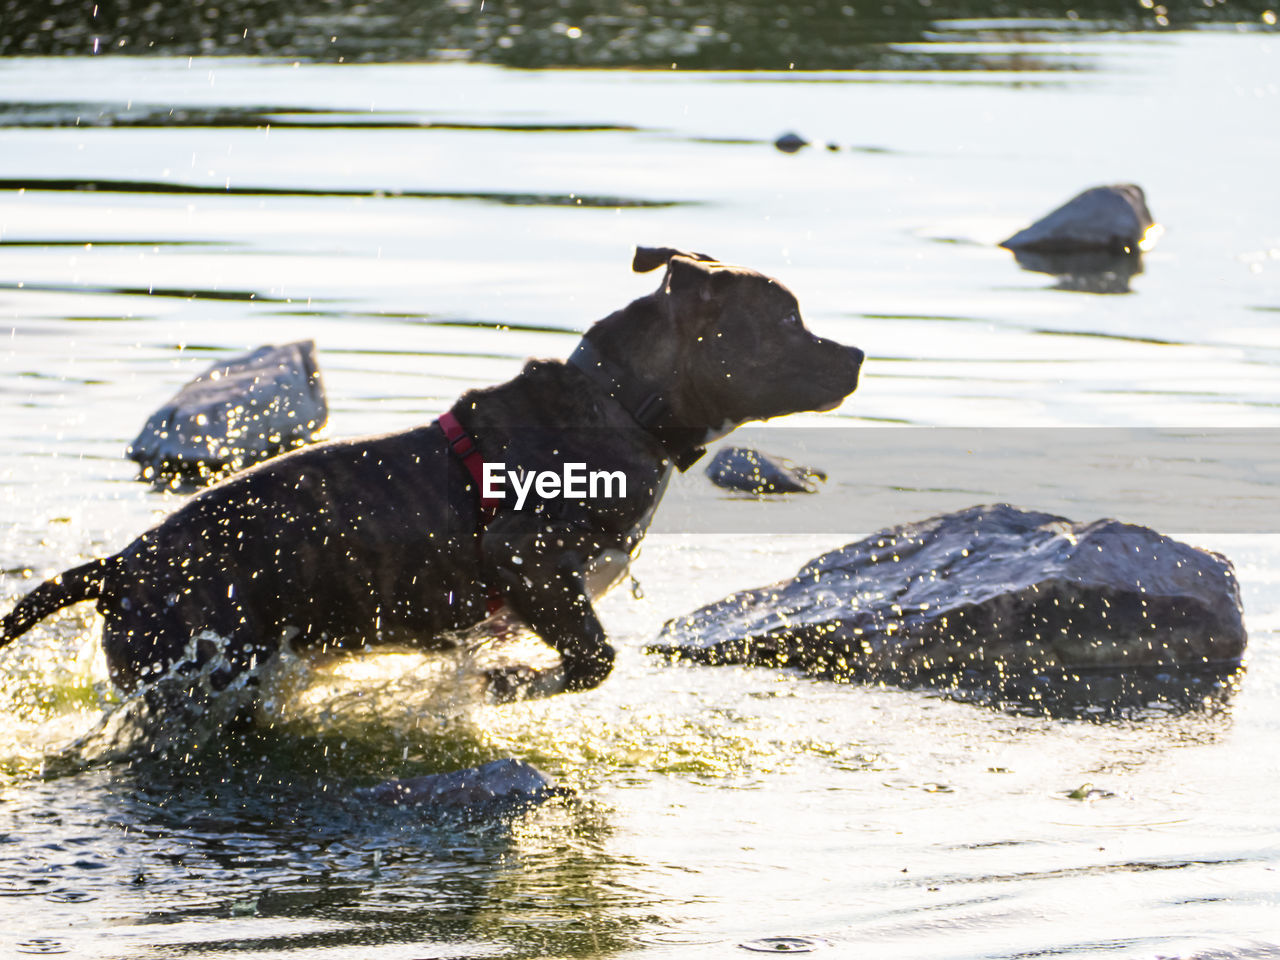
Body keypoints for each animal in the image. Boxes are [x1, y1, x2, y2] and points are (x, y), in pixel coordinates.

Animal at [0, 249, 865, 706]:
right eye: (787, 321)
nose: (857, 354)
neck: (623, 403)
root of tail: (119, 566)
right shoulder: (523, 554)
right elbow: (594, 660)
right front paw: (514, 681)